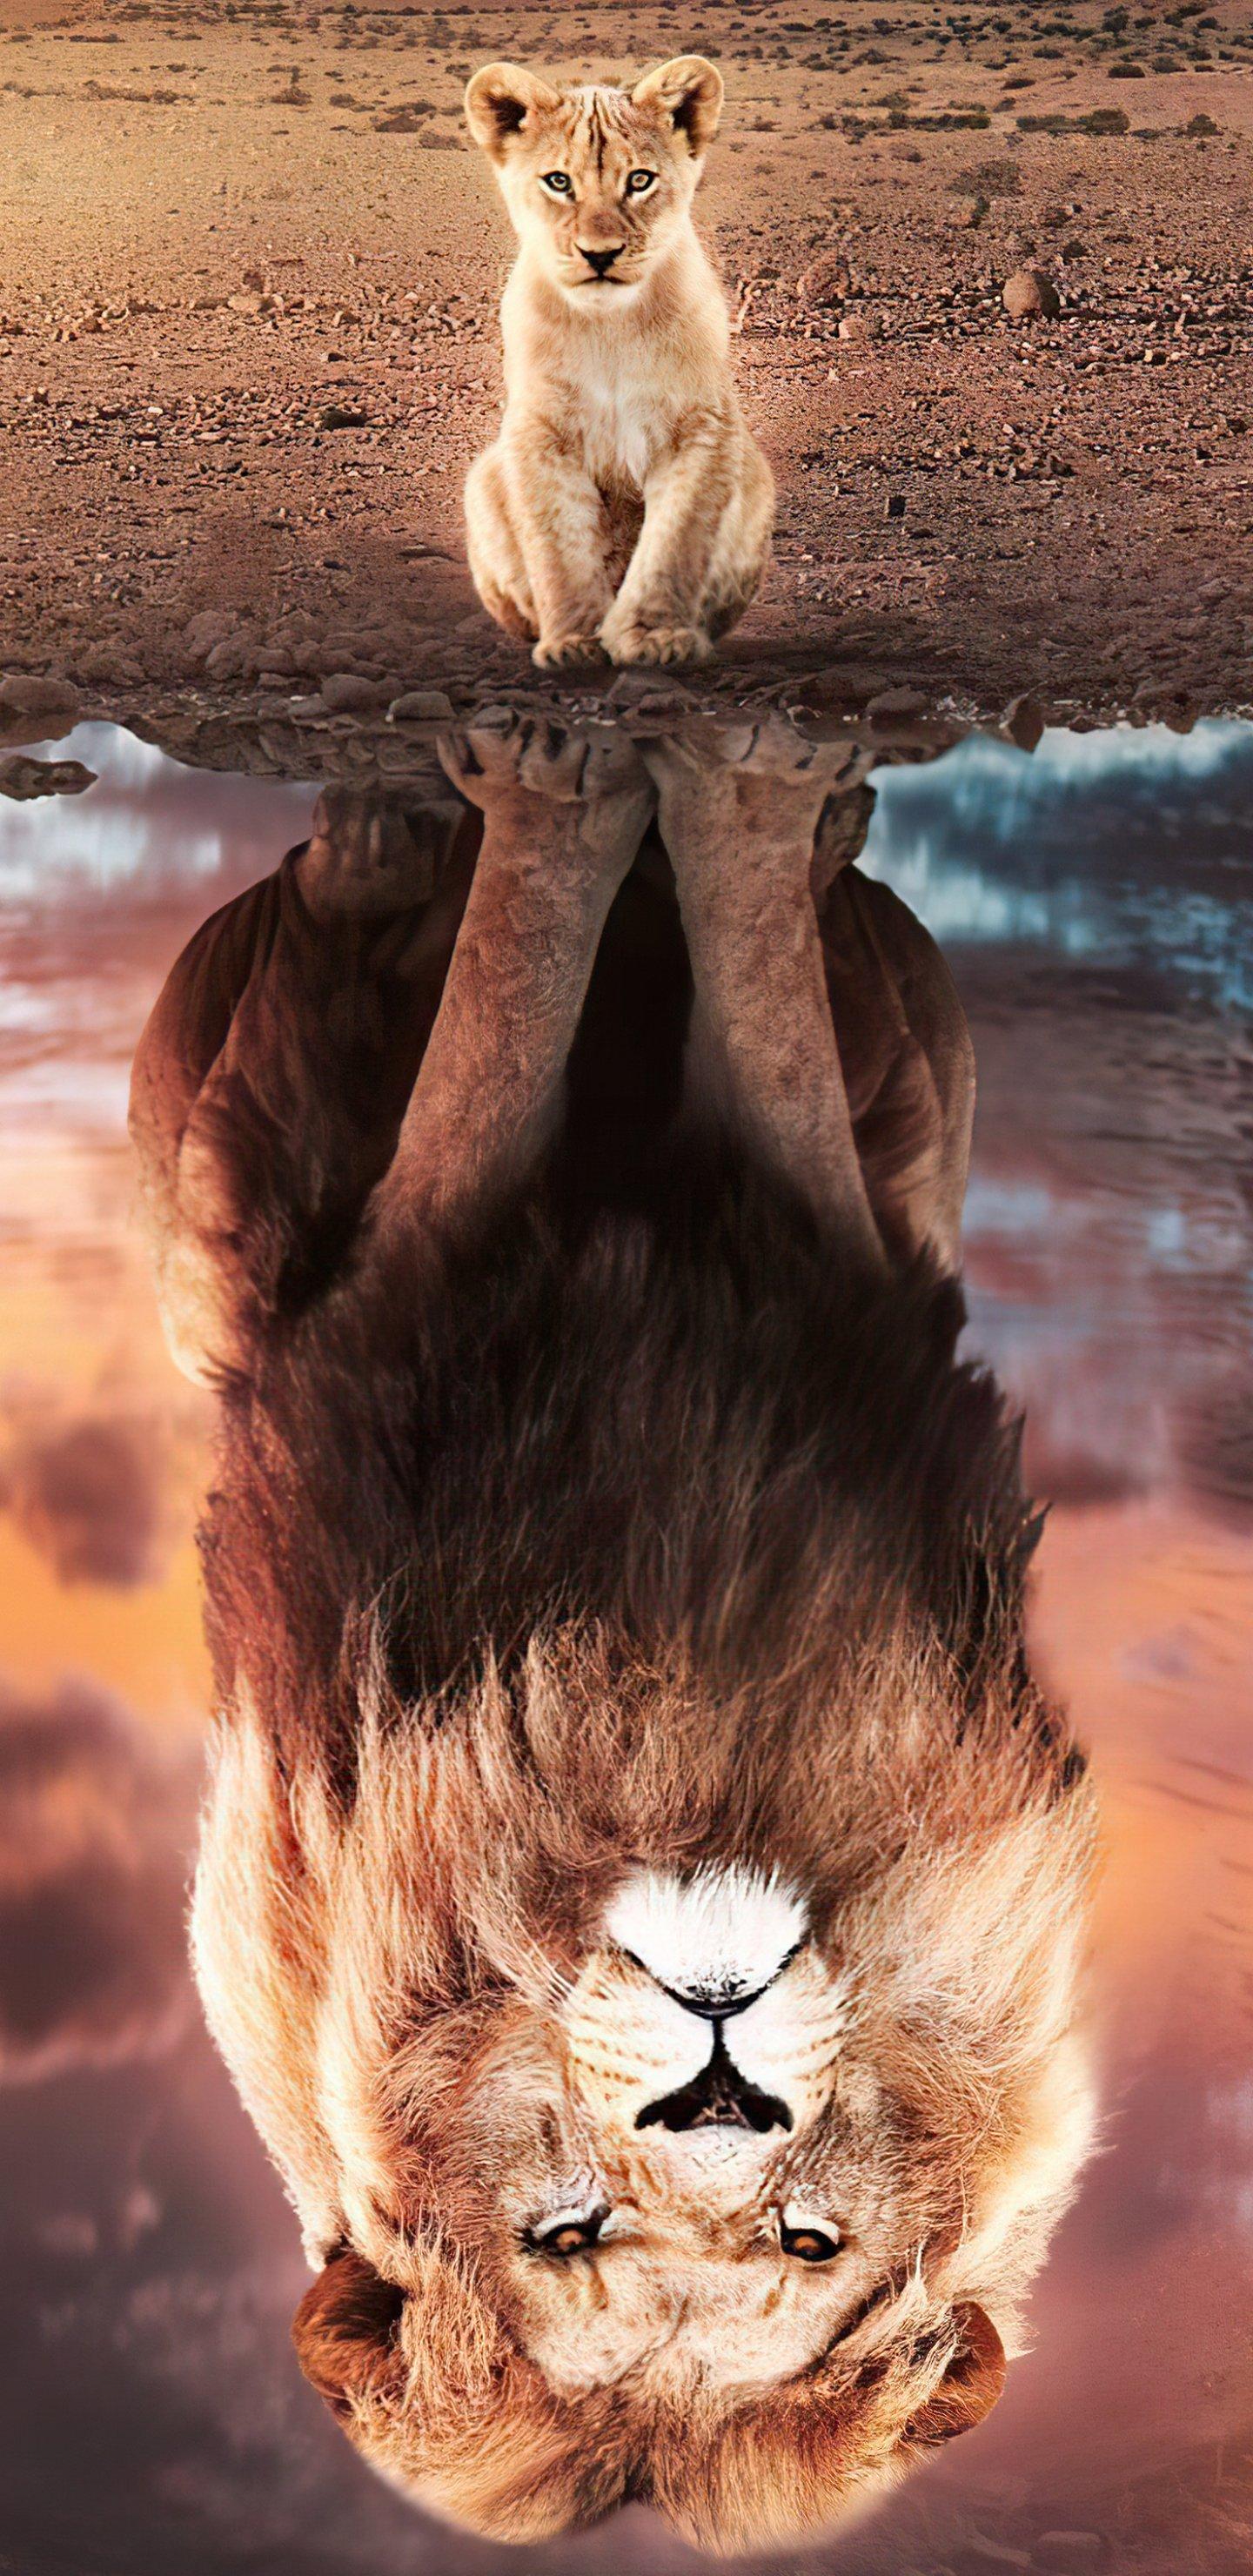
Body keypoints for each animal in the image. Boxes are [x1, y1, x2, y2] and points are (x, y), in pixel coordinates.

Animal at [129, 714, 1098, 2556]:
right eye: (567, 2233)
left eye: (803, 2238)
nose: (721, 2081)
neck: (658, 1734)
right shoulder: (404, 1273)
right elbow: (516, 991)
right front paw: (580, 783)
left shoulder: (846, 1256)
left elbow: (745, 1006)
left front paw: (726, 789)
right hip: (193, 1192)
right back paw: (380, 839)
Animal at [461, 56, 774, 668]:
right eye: (559, 182)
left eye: (640, 181)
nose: (599, 255)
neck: (609, 329)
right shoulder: (540, 432)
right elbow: (558, 547)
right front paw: (575, 642)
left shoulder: (701, 427)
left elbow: (674, 544)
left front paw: (654, 636)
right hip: (482, 479)